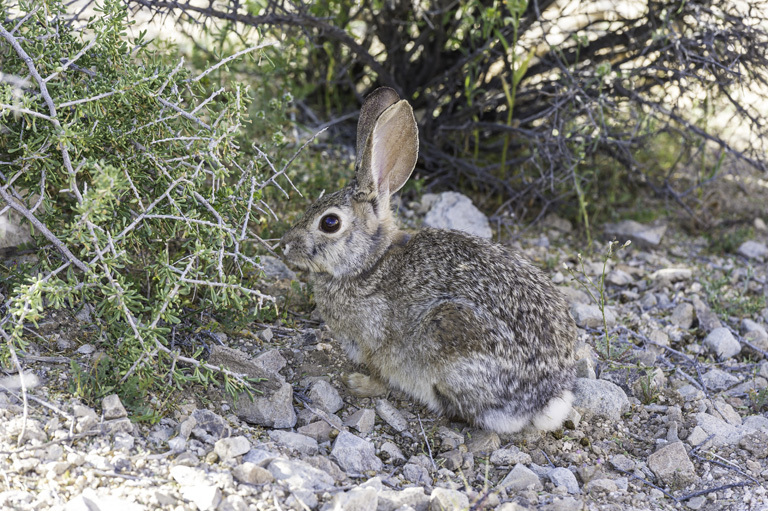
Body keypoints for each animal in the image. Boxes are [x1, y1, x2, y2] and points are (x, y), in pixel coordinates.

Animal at [282, 87, 576, 432]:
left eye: (330, 223)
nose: (285, 245)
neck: (370, 263)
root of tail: (546, 398)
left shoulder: (377, 341)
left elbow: (380, 373)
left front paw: (359, 383)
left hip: (449, 333)